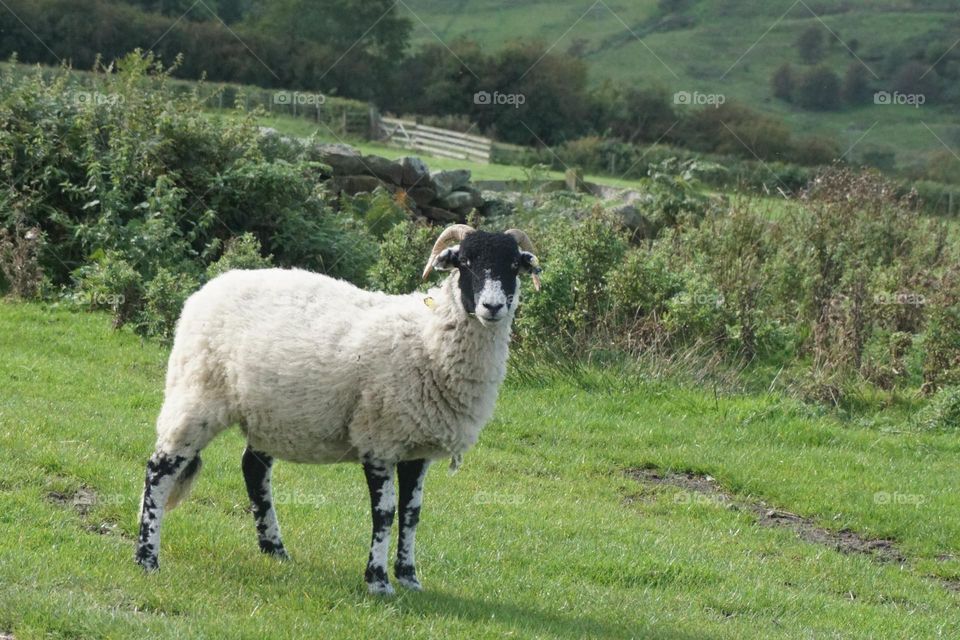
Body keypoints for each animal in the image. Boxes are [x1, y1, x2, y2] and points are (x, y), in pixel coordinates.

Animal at [135, 224, 542, 594]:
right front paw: (377, 581)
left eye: (513, 265)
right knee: (160, 470)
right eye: (465, 262)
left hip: (268, 413)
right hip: (196, 393)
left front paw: (409, 577)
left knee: (253, 470)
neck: (427, 338)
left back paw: (274, 549)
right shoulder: (378, 439)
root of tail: (208, 288)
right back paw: (146, 558)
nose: (492, 307)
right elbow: (385, 513)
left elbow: (412, 514)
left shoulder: (416, 446)